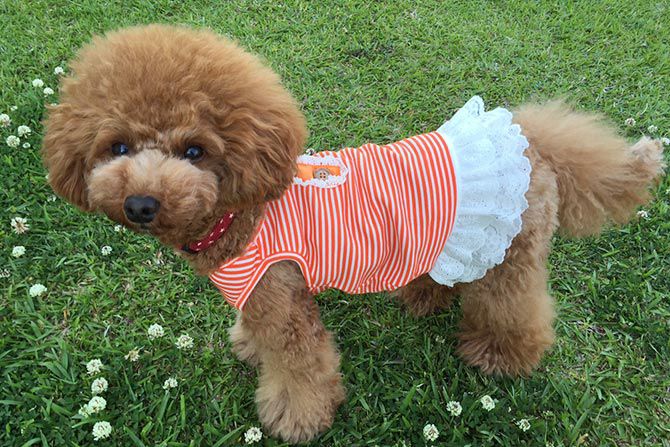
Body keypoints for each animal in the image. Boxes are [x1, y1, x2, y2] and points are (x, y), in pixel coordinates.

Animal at [42, 24, 665, 443]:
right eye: (118, 146)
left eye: (195, 151)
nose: (141, 203)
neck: (239, 211)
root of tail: (532, 141)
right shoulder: (259, 292)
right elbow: (257, 333)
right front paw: (248, 346)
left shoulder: (281, 296)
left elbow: (301, 367)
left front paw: (295, 419)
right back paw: (422, 297)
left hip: (509, 254)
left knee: (518, 308)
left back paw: (501, 356)